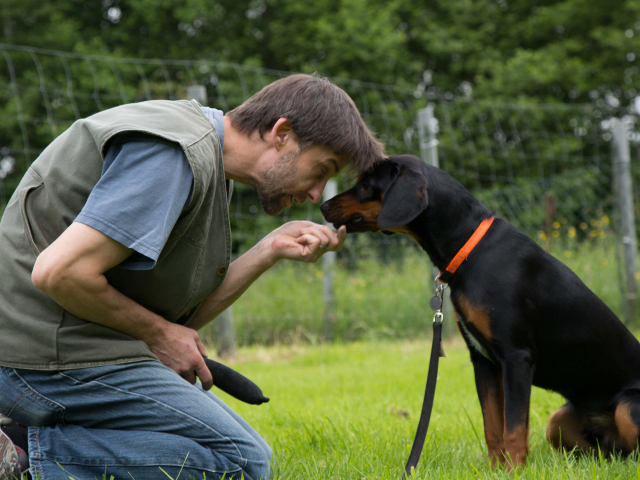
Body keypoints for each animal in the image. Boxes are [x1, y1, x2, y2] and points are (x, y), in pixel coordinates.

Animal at [320, 155, 640, 468]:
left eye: (365, 184)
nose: (323, 206)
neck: (470, 249)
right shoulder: (483, 361)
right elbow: (493, 426)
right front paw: (495, 469)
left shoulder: (516, 357)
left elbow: (514, 428)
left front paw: (514, 472)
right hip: (559, 421)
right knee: (610, 452)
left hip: (627, 408)